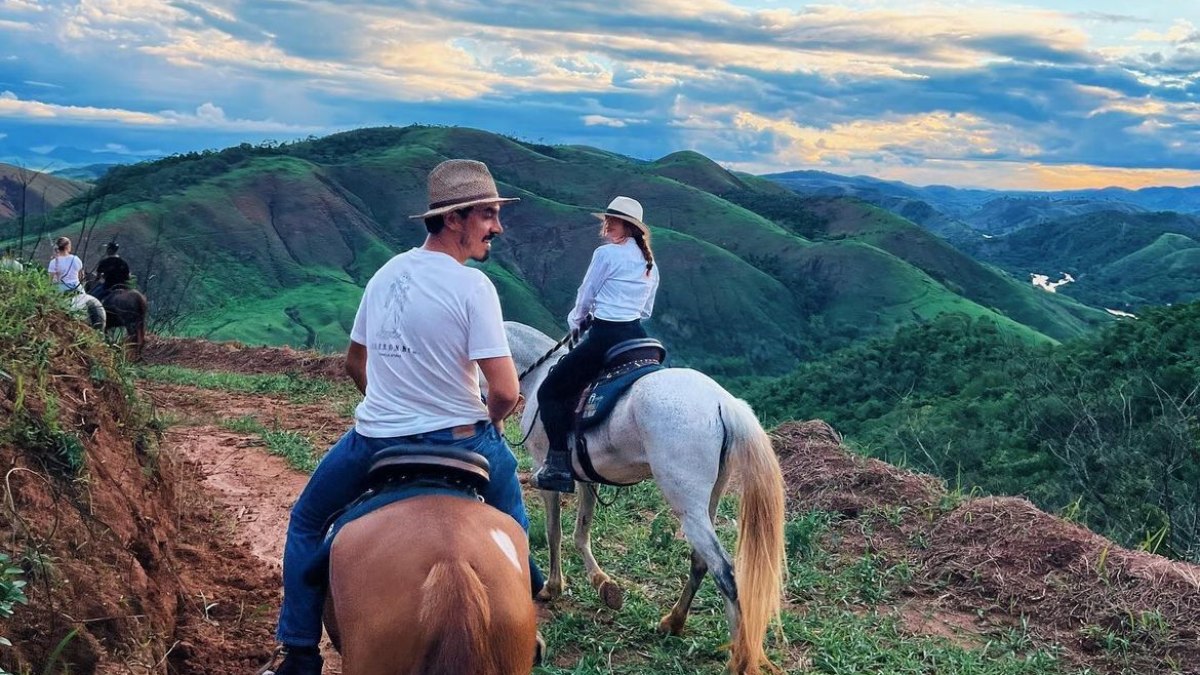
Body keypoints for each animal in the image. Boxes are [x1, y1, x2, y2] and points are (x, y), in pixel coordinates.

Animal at [506, 319, 787, 672]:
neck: (539, 373)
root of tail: (723, 402)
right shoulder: (585, 477)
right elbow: (581, 530)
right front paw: (602, 584)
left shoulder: (544, 470)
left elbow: (554, 531)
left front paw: (552, 587)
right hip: (707, 500)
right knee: (701, 561)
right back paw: (674, 622)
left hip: (687, 505)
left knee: (727, 573)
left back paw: (740, 660)